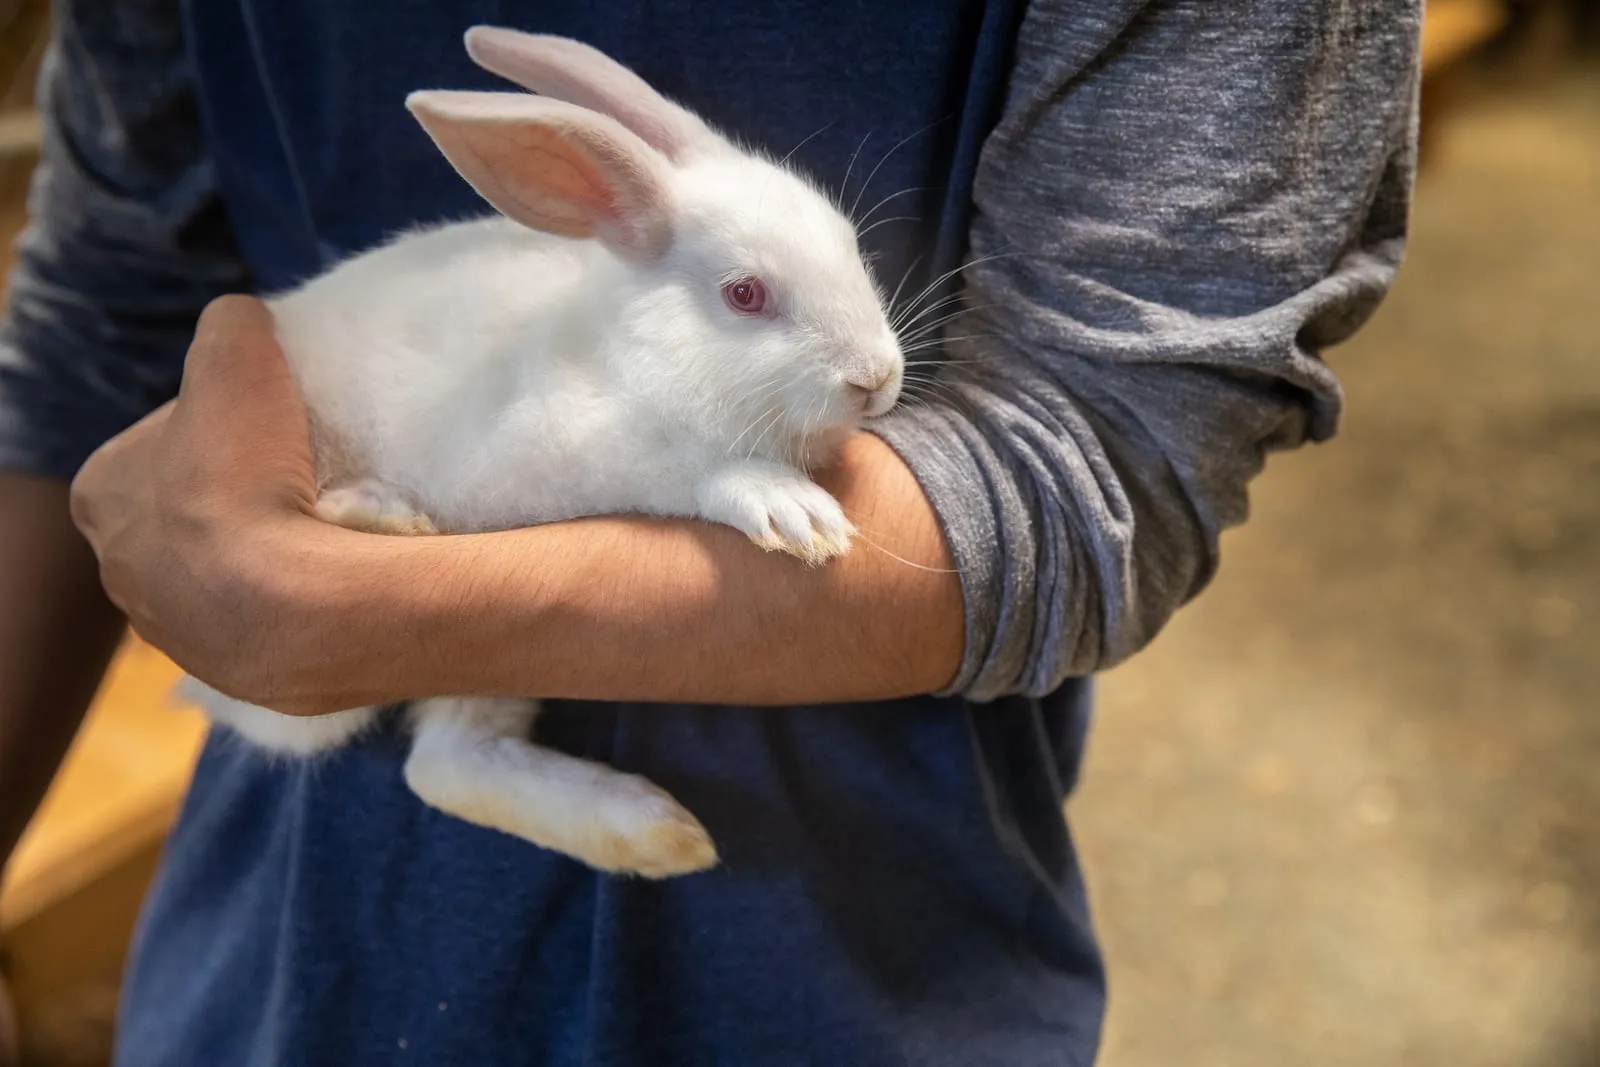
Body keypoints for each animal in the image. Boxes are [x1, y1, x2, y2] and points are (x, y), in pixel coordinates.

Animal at [179, 26, 905, 880]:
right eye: (745, 295)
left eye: (851, 248)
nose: (876, 378)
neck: (628, 356)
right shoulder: (582, 450)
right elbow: (700, 469)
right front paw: (792, 510)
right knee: (441, 760)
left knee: (448, 760)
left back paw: (657, 835)